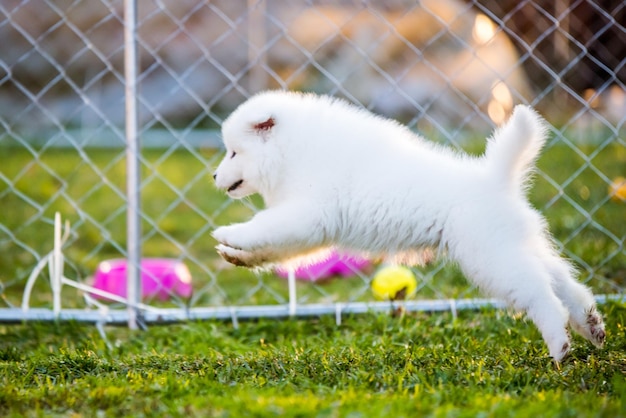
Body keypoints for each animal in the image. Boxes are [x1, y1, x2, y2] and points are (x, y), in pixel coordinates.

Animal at [212, 90, 604, 360]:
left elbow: (264, 225)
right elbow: (272, 248)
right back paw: (591, 325)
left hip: (492, 259)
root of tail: (496, 179)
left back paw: (559, 344)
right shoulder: (305, 227)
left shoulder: (306, 213)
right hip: (517, 246)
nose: (214, 176)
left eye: (233, 152)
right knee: (563, 281)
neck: (293, 152)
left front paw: (230, 233)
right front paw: (236, 255)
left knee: (541, 295)